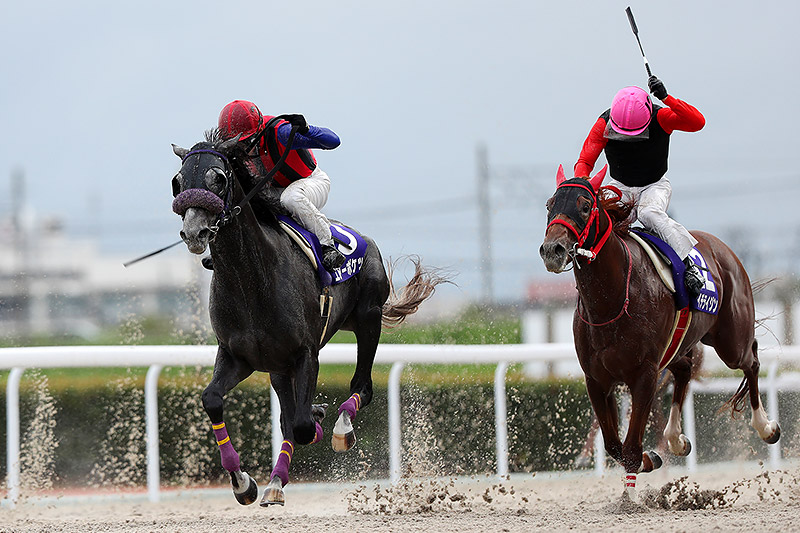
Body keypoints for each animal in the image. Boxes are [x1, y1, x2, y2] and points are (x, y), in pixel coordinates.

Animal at [540, 165, 780, 494]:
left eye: (585, 206)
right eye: (549, 205)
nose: (553, 249)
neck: (612, 299)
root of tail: (721, 247)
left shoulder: (645, 374)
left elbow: (629, 448)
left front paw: (629, 495)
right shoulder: (597, 379)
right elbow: (614, 445)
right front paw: (649, 458)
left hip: (731, 341)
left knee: (752, 361)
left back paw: (766, 427)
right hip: (679, 348)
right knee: (685, 370)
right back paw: (677, 438)